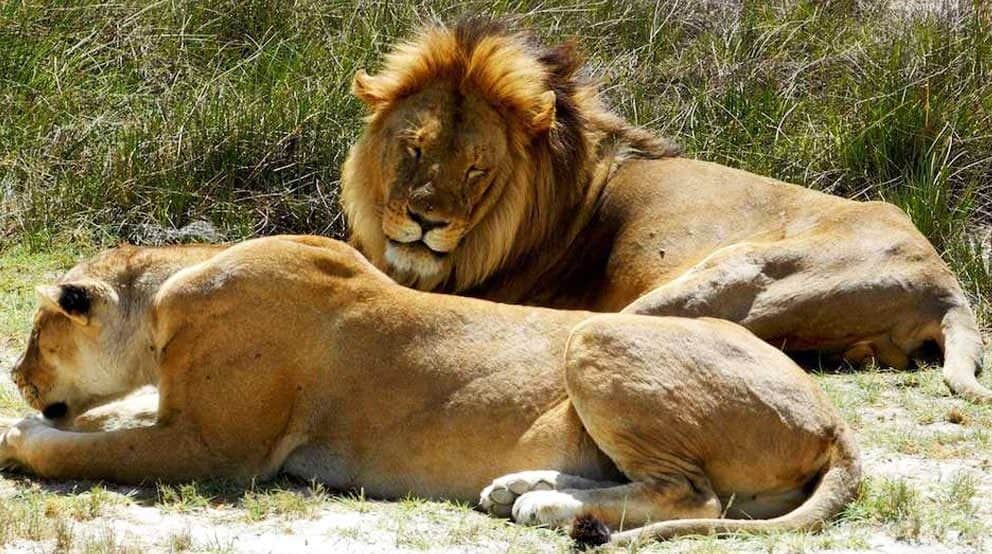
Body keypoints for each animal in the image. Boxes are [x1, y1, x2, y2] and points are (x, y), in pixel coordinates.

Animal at [3, 235, 859, 545]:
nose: (15, 375)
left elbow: (91, 450)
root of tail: (834, 417)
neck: (164, 301)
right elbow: (112, 422)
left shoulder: (217, 450)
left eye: (37, 335)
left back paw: (548, 507)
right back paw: (524, 487)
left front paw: (18, 435)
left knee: (692, 494)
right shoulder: (180, 416)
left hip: (596, 338)